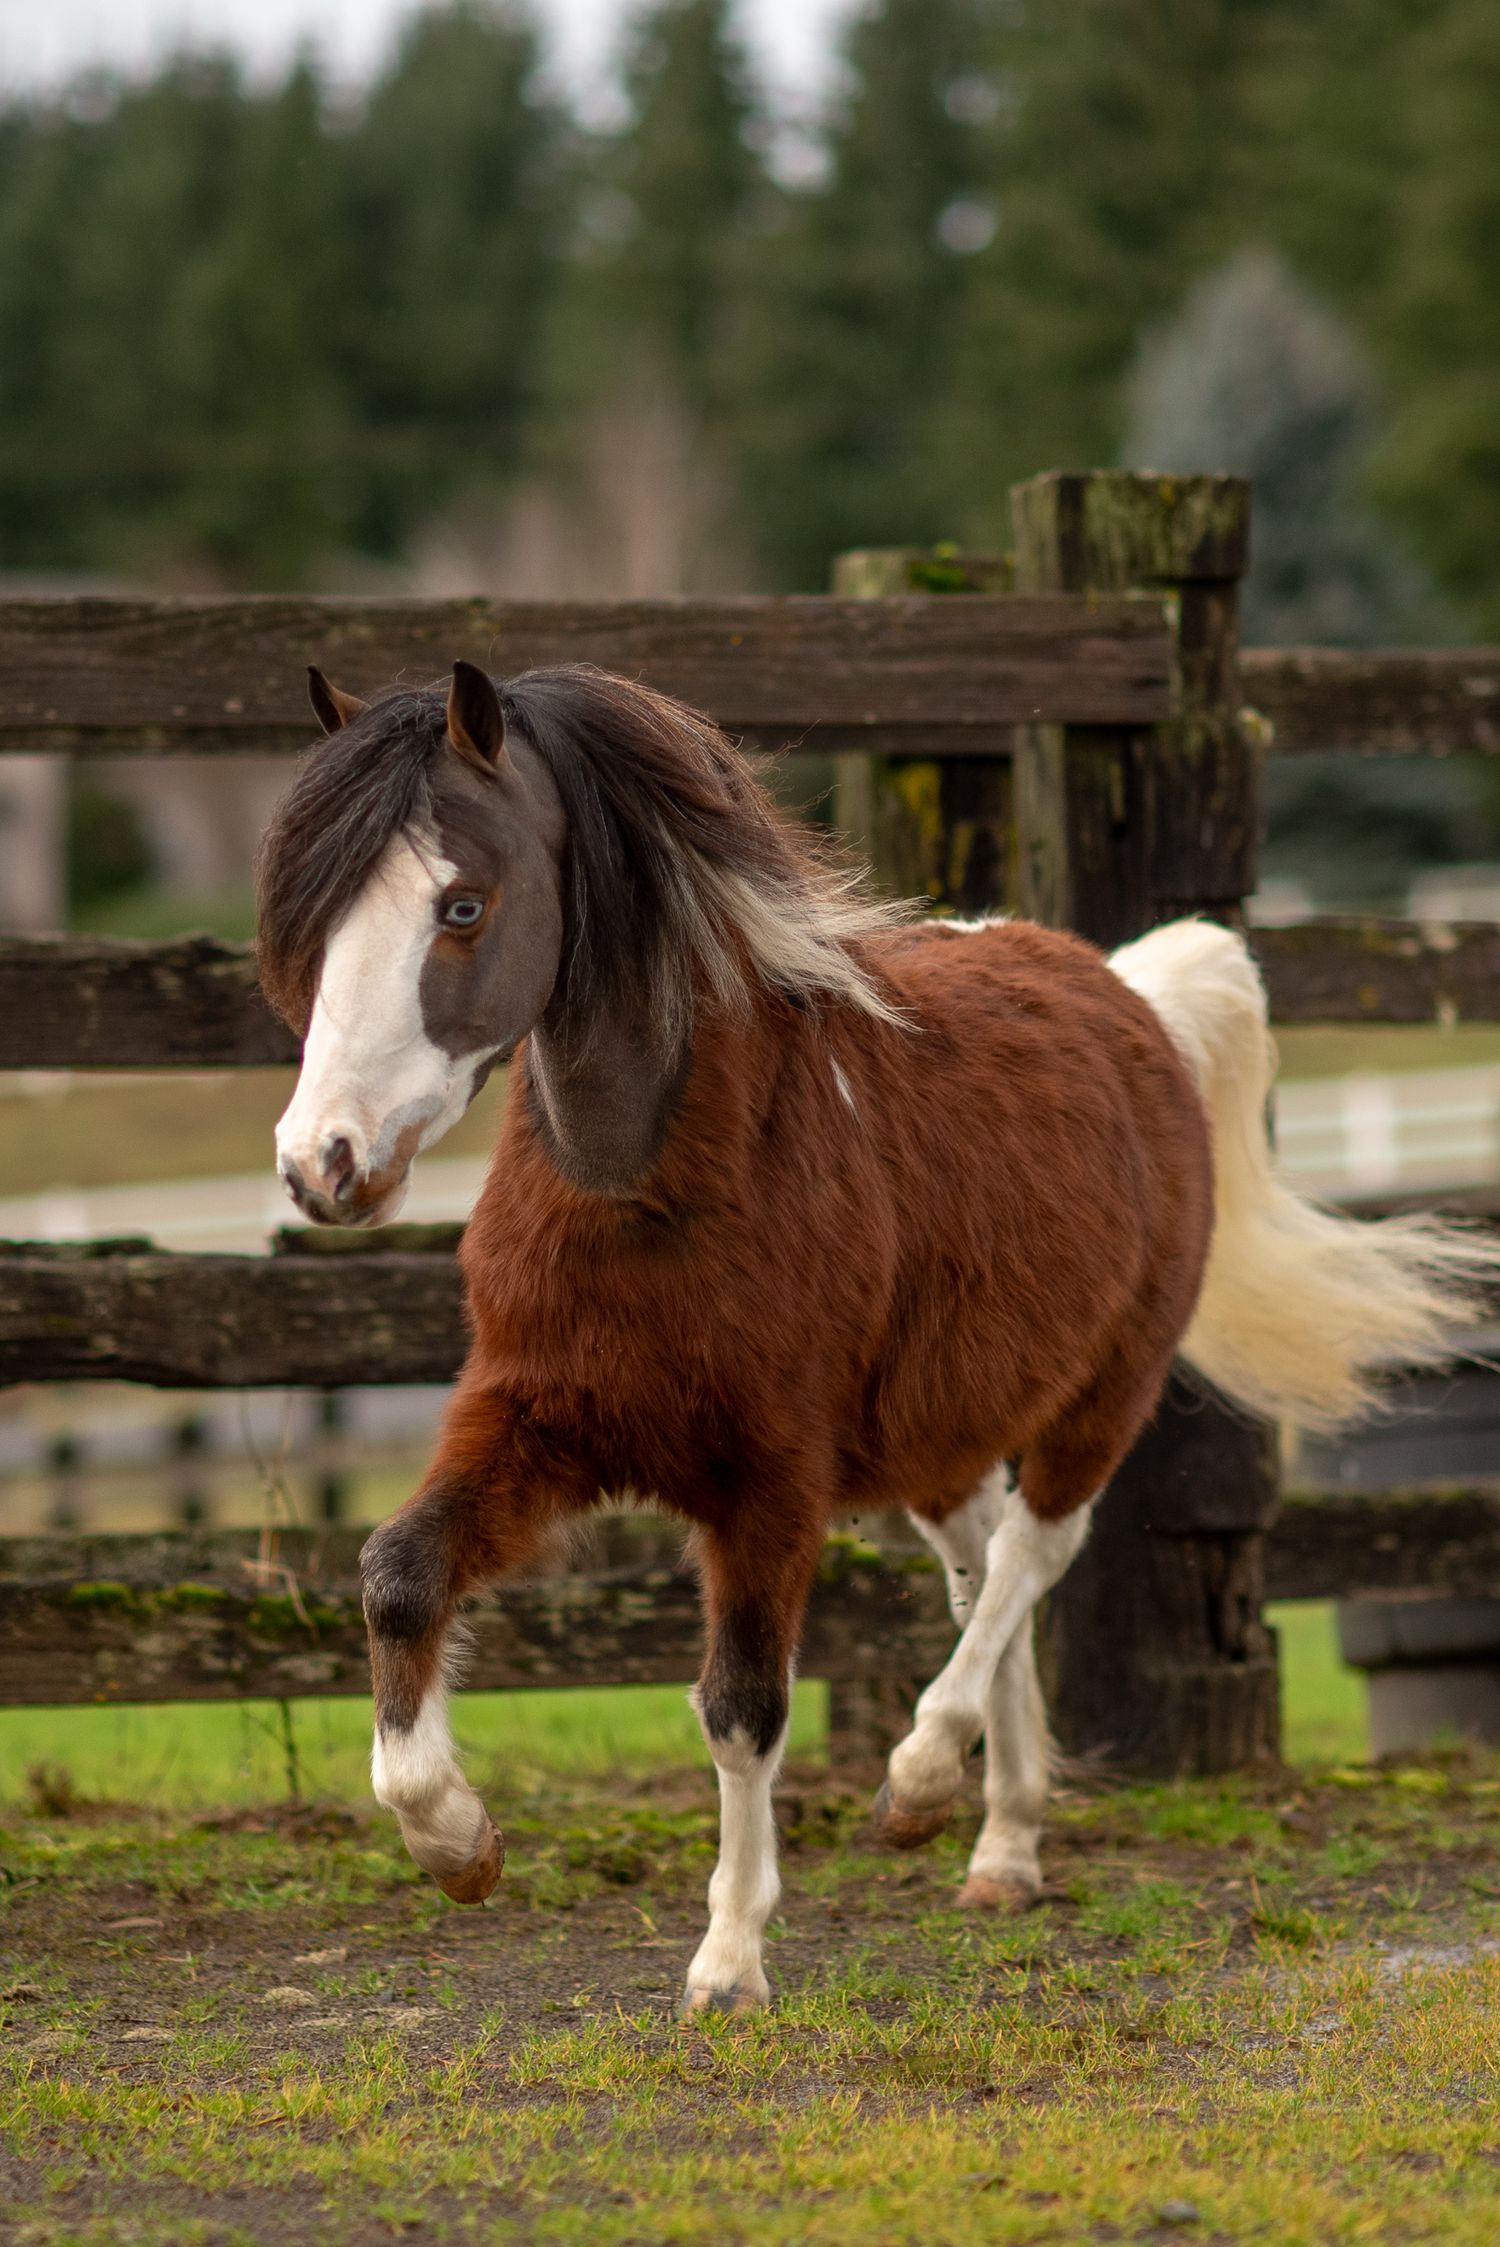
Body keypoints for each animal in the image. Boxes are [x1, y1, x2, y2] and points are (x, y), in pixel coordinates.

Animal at [256, 656, 1497, 2014]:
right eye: (322, 921)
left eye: (463, 906)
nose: (323, 1164)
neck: (659, 1192)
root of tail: (1136, 997)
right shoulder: (536, 1422)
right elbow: (397, 1576)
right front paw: (455, 1842)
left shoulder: (770, 1483)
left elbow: (742, 1705)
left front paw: (730, 1961)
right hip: (936, 1442)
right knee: (982, 1564)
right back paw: (1002, 1847)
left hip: (1103, 1394)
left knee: (1033, 1553)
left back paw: (923, 1785)